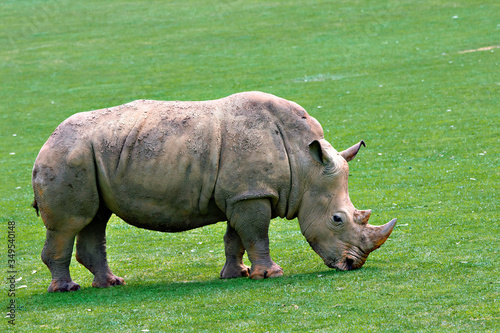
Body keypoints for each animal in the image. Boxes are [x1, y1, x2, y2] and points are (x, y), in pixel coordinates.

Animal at [32, 91, 398, 290]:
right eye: (337, 219)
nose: (354, 265)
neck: (306, 164)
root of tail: (48, 138)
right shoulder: (251, 194)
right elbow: (257, 235)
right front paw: (271, 275)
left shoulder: (244, 194)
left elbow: (237, 238)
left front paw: (239, 274)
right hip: (66, 155)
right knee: (69, 224)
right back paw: (67, 289)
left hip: (89, 156)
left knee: (95, 218)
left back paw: (112, 283)